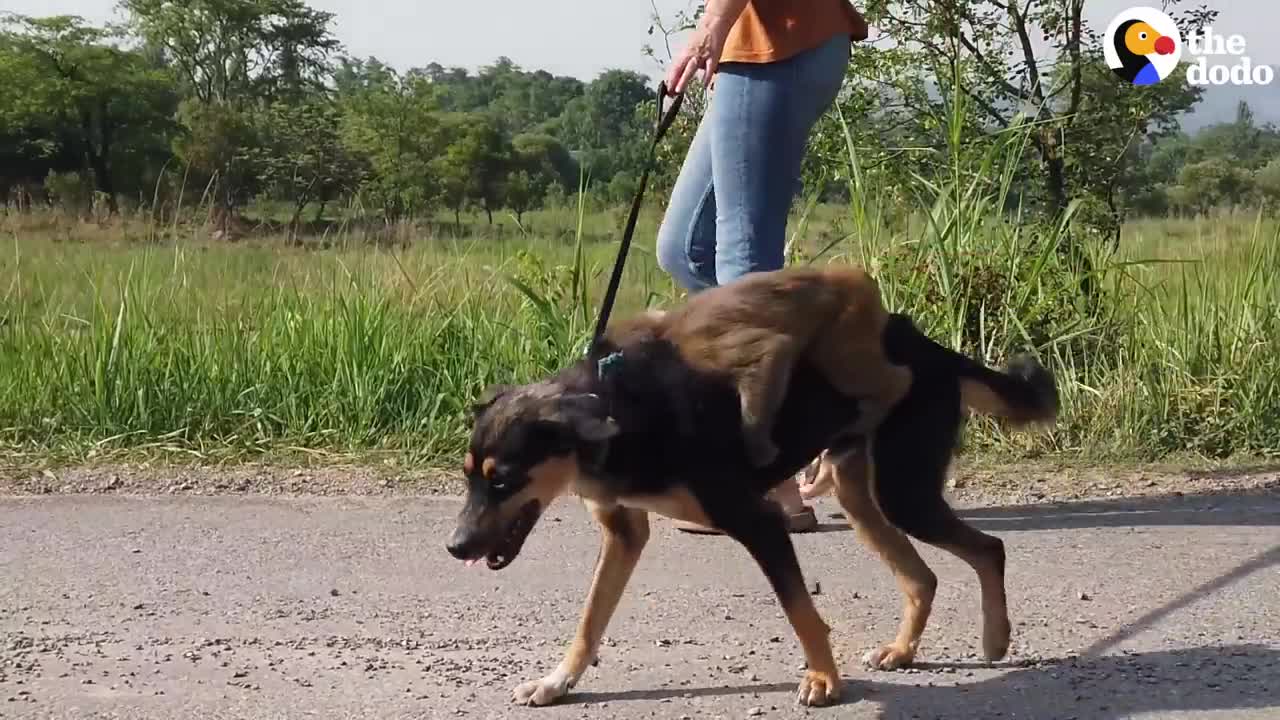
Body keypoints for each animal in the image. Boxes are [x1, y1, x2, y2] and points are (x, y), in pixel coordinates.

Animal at [445, 265, 1054, 707]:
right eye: (469, 477)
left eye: (504, 480)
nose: (455, 547)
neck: (616, 406)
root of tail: (919, 343)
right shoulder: (623, 531)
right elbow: (590, 619)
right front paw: (557, 682)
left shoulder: (757, 521)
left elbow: (800, 610)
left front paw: (825, 680)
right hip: (861, 495)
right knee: (922, 577)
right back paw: (903, 650)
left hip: (905, 492)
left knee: (989, 548)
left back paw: (995, 637)